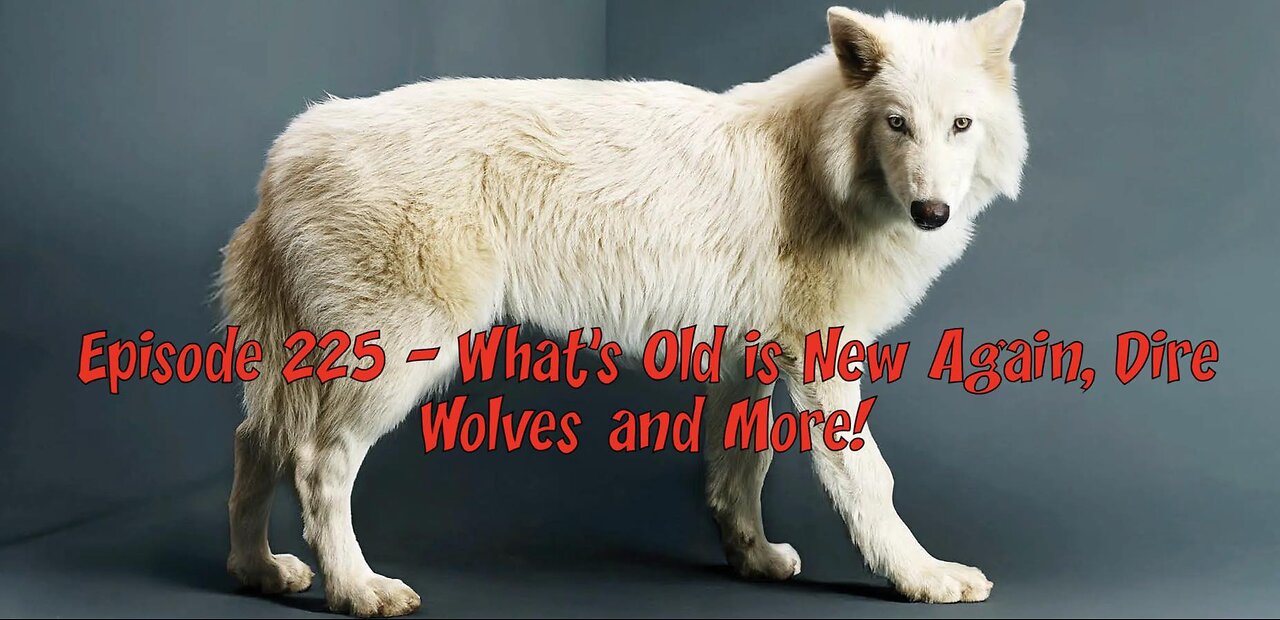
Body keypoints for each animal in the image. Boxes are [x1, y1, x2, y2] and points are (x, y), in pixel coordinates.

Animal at [219, 2, 1028, 616]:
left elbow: (742, 470)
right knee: (317, 464)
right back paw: (358, 590)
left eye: (960, 125)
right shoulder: (821, 364)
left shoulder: (747, 362)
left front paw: (754, 559)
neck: (821, 169)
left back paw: (258, 571)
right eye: (897, 123)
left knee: (253, 441)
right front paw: (924, 577)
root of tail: (287, 152)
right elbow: (870, 482)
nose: (931, 212)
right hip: (396, 361)